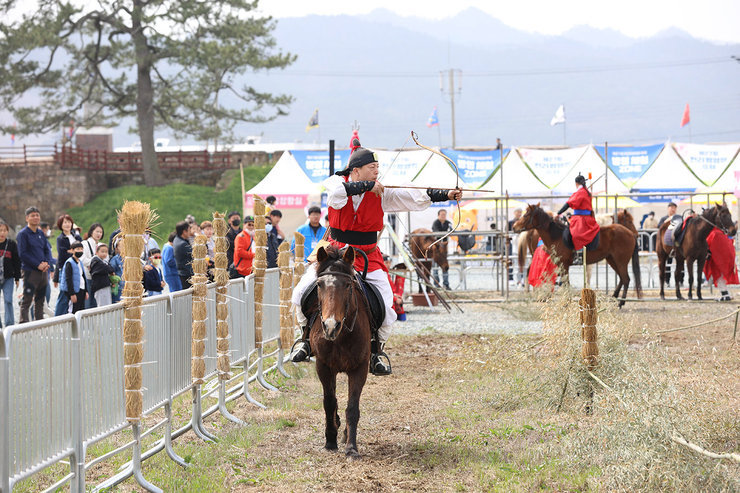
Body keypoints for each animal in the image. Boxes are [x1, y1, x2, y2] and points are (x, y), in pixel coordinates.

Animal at [512, 203, 640, 304]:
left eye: (525, 215)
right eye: (629, 220)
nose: (514, 227)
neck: (557, 236)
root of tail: (630, 234)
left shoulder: (565, 265)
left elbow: (567, 283)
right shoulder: (561, 265)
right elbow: (564, 282)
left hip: (620, 261)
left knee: (626, 279)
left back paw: (620, 303)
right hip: (612, 260)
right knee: (622, 279)